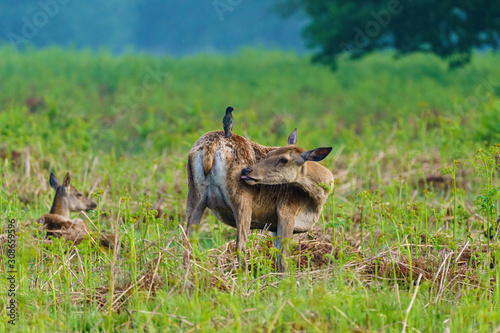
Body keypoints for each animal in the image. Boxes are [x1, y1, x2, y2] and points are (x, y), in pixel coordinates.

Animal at [186, 128, 334, 272]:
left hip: (195, 194)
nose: (247, 171)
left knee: (186, 240)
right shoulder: (286, 212)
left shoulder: (274, 224)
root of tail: (210, 147)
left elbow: (276, 252)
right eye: (270, 154)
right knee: (240, 246)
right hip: (242, 199)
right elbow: (283, 257)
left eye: (284, 159)